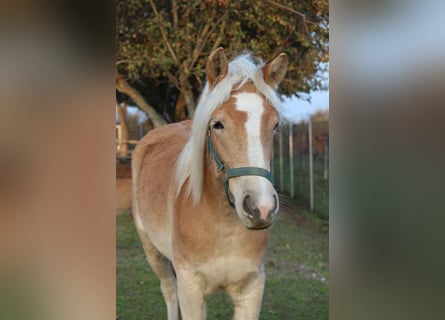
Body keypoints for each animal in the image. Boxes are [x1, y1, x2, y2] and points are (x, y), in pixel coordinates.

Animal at [131, 47, 288, 320]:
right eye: (218, 124)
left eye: (275, 124)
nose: (261, 208)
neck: (223, 225)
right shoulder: (191, 291)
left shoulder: (251, 290)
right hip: (153, 253)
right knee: (169, 292)